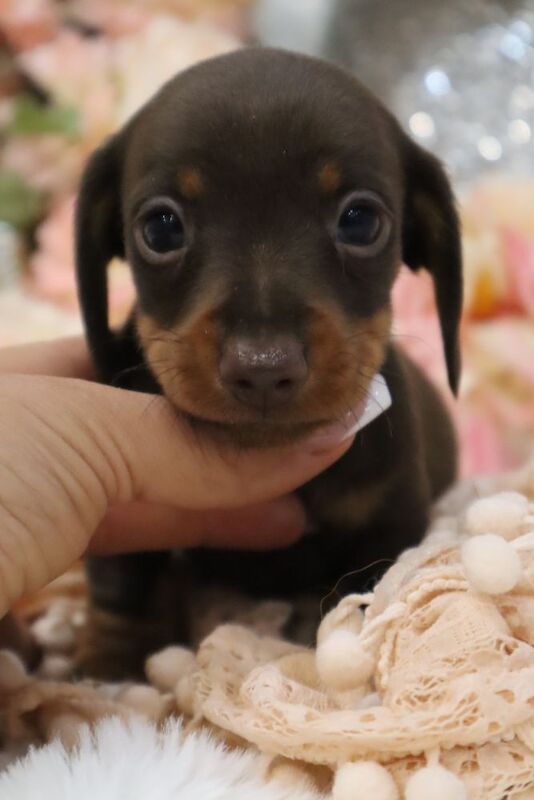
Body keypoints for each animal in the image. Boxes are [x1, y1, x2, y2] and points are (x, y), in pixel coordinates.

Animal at [75, 47, 464, 680]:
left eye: (360, 220)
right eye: (160, 227)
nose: (262, 367)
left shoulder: (392, 518)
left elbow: (366, 588)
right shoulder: (129, 515)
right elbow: (125, 580)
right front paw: (108, 666)